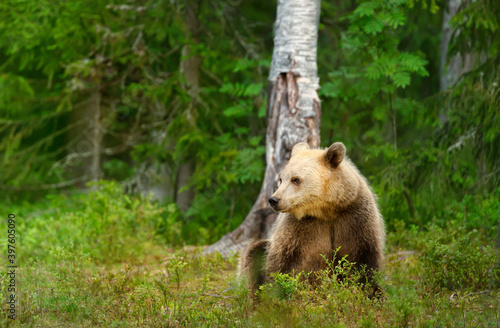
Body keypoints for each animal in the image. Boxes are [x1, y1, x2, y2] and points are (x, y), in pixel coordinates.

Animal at [240, 141, 384, 294]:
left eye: (296, 179)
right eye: (281, 179)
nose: (274, 200)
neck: (326, 210)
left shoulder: (355, 217)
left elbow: (363, 258)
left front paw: (370, 290)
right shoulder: (300, 227)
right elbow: (283, 260)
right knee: (254, 251)